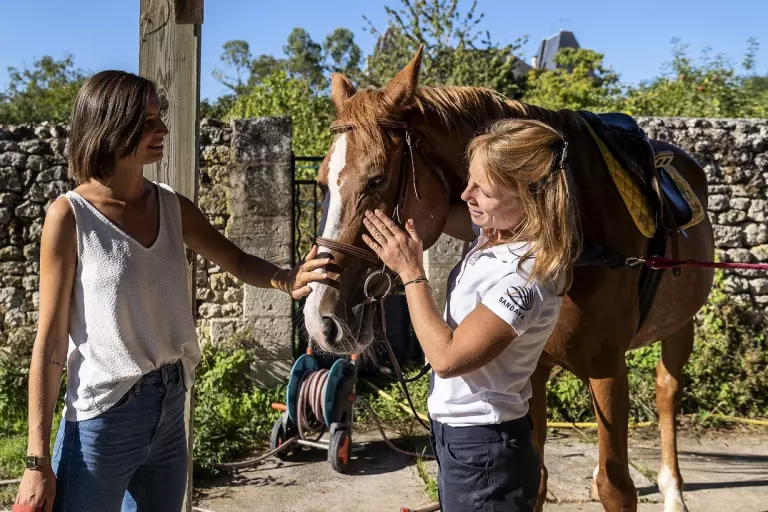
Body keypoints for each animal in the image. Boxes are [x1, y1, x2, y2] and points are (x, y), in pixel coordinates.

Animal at [302, 47, 714, 512]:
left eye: (376, 180)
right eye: (322, 182)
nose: (320, 320)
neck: (576, 233)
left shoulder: (608, 369)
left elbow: (617, 488)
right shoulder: (532, 374)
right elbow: (536, 479)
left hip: (681, 325)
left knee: (667, 392)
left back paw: (672, 489)